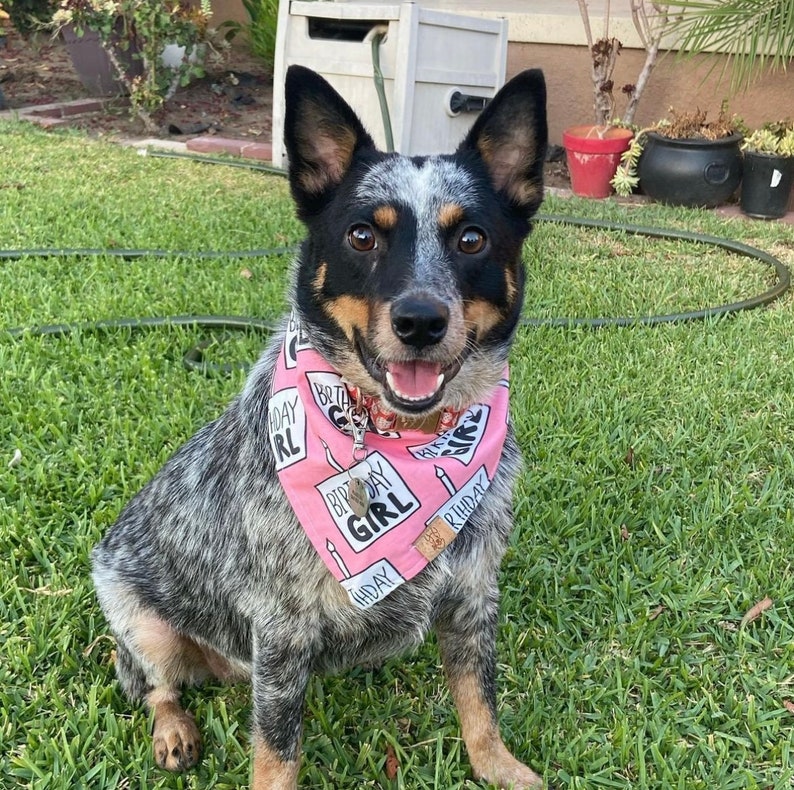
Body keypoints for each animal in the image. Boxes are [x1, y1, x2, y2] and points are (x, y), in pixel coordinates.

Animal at [93, 65, 548, 788]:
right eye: (363, 236)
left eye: (471, 238)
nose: (421, 320)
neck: (403, 440)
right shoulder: (281, 632)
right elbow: (277, 752)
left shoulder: (475, 597)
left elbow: (480, 701)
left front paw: (499, 767)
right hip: (139, 616)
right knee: (157, 683)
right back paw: (173, 730)